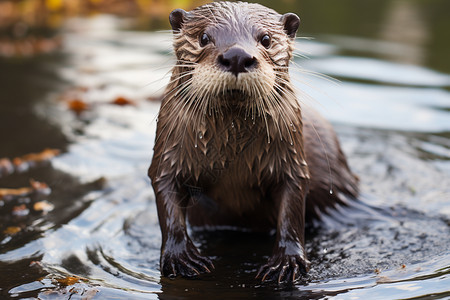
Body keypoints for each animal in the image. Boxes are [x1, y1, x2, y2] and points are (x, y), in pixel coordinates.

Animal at [149, 1, 358, 284]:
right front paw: (180, 256)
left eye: (266, 39)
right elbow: (166, 192)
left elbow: (292, 207)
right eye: (203, 37)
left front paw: (287, 261)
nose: (237, 56)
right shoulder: (168, 153)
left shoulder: (292, 161)